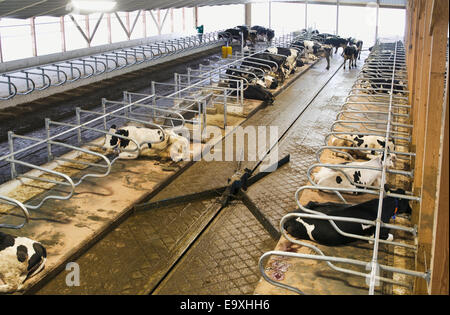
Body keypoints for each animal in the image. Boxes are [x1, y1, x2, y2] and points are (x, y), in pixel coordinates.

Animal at [284, 190, 412, 247]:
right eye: (408, 202)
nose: (411, 211)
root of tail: (288, 219)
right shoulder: (380, 233)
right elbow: (389, 237)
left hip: (315, 203)